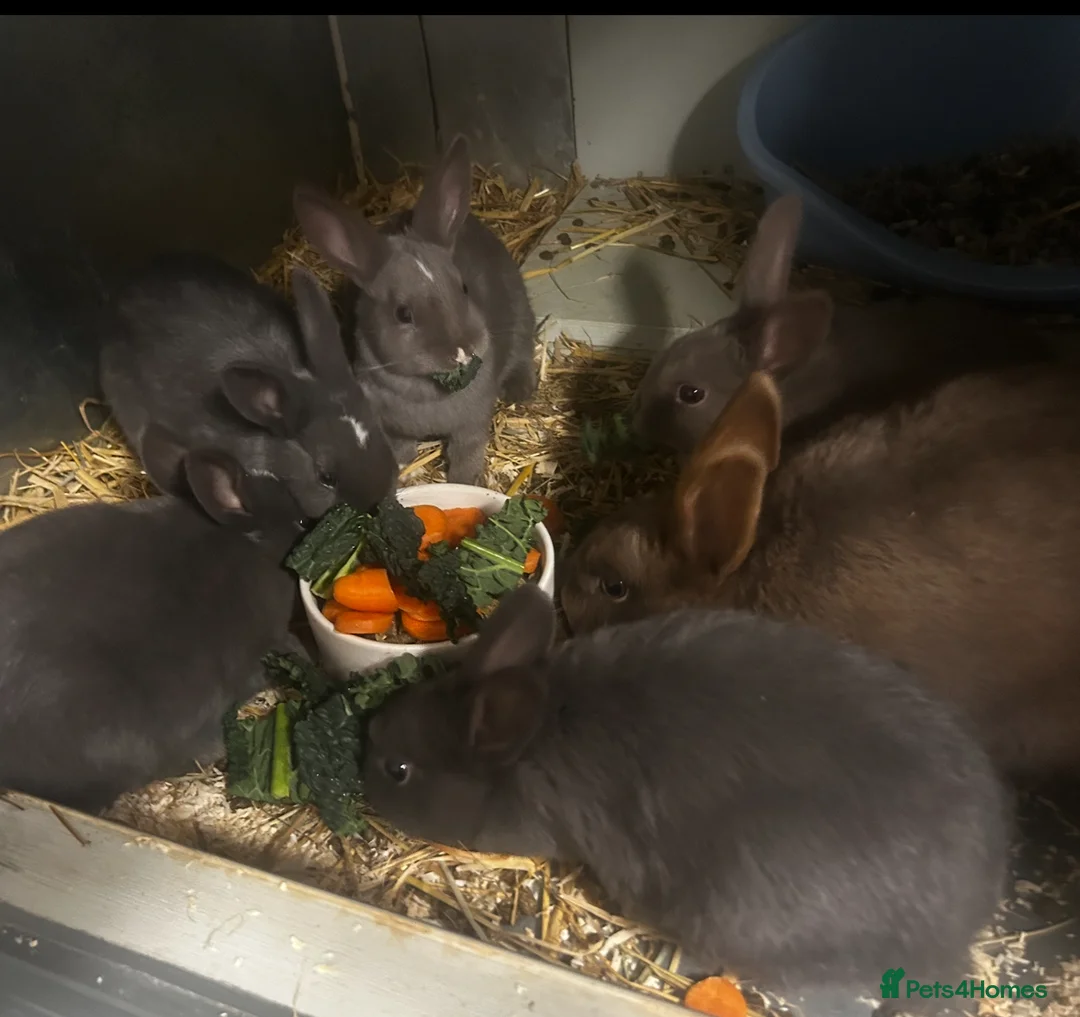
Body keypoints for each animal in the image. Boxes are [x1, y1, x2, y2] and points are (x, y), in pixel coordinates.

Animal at [291, 134, 538, 485]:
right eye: (403, 314)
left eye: (463, 288)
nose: (463, 350)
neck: (425, 391)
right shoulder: (391, 425)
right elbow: (401, 446)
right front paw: (402, 467)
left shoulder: (472, 423)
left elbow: (467, 450)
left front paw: (464, 481)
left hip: (519, 316)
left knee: (523, 352)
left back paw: (520, 390)